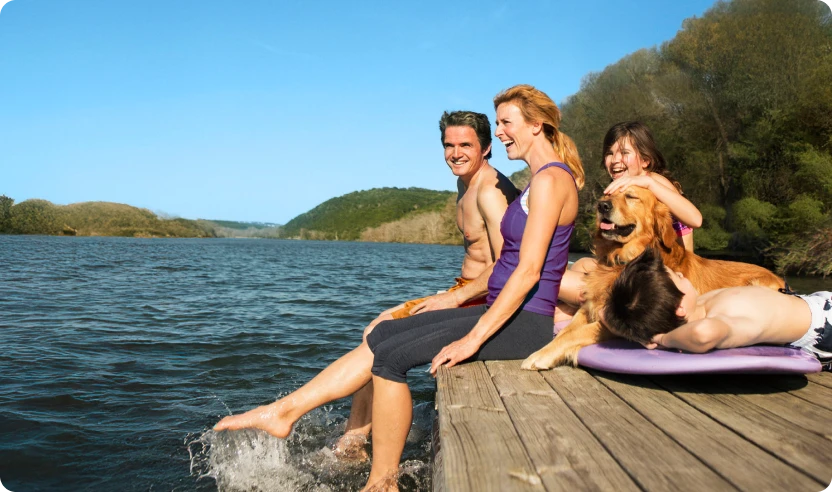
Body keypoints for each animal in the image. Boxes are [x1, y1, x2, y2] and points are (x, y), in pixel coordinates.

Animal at [521, 186, 784, 370]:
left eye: (631, 196)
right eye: (608, 194)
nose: (601, 205)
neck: (623, 260)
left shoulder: (614, 321)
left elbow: (576, 334)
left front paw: (541, 356)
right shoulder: (588, 308)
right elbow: (567, 331)